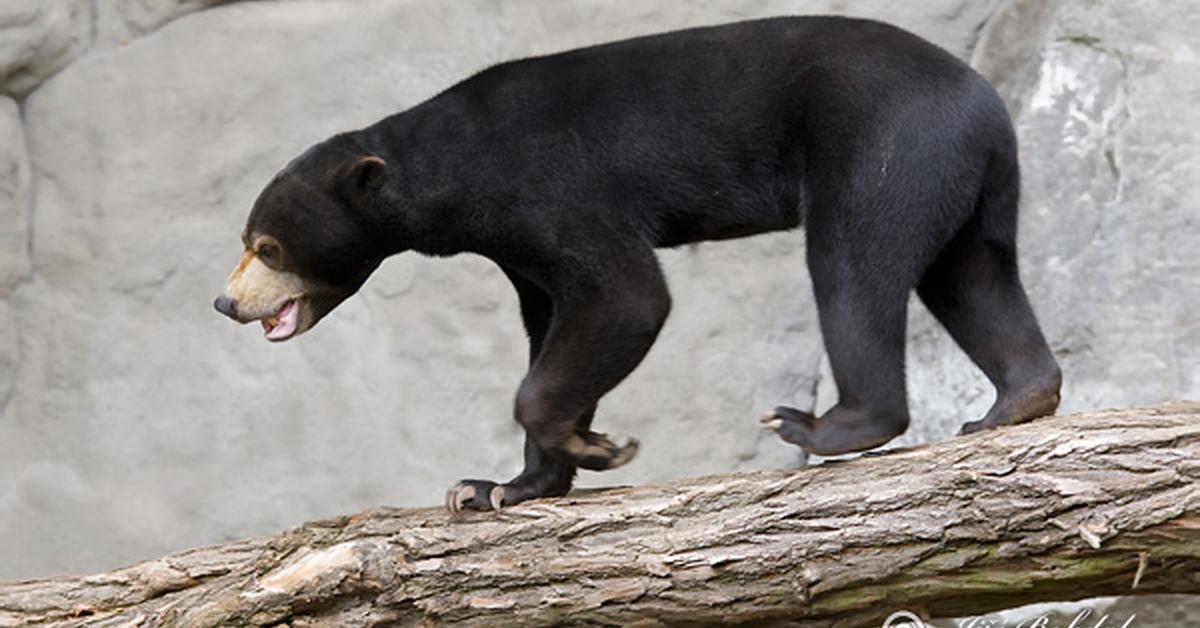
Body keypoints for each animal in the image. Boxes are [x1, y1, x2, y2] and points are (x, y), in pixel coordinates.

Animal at [213, 18, 1060, 511]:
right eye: (246, 239)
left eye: (267, 247)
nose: (226, 304)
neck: (447, 173)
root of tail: (984, 100)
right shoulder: (515, 246)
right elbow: (554, 322)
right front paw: (497, 487)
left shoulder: (549, 190)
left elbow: (624, 297)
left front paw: (597, 448)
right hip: (965, 179)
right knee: (973, 274)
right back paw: (1015, 401)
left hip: (883, 148)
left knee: (853, 266)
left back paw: (820, 426)